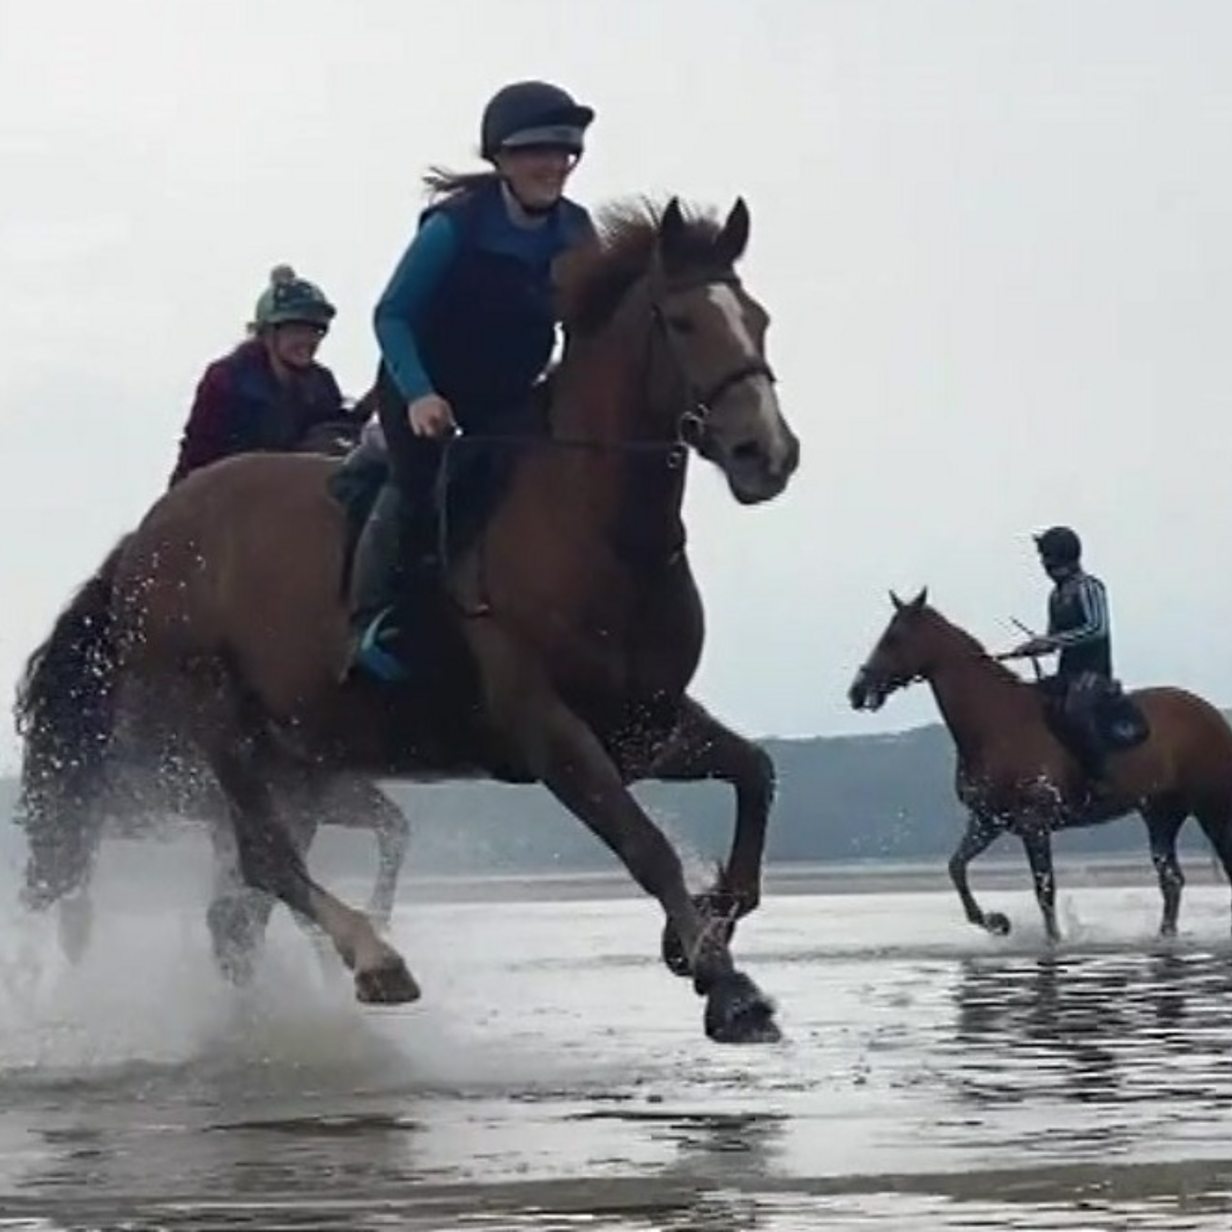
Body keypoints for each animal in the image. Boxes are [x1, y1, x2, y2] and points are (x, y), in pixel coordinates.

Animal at [14, 197, 803, 1044]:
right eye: (682, 322)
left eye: (759, 319)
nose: (767, 453)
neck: (595, 529)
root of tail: (143, 539)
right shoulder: (547, 730)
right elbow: (645, 845)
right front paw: (727, 985)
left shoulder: (644, 723)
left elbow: (755, 774)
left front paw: (698, 934)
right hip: (219, 725)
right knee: (264, 862)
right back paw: (374, 959)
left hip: (296, 757)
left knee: (239, 911)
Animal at [847, 591, 1232, 936]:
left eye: (893, 638)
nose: (857, 691)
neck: (996, 723)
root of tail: (1212, 713)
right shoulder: (987, 820)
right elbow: (956, 867)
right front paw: (996, 922)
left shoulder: (1035, 823)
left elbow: (1044, 890)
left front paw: (1052, 941)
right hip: (1161, 814)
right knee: (1171, 880)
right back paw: (1165, 935)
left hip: (1211, 806)